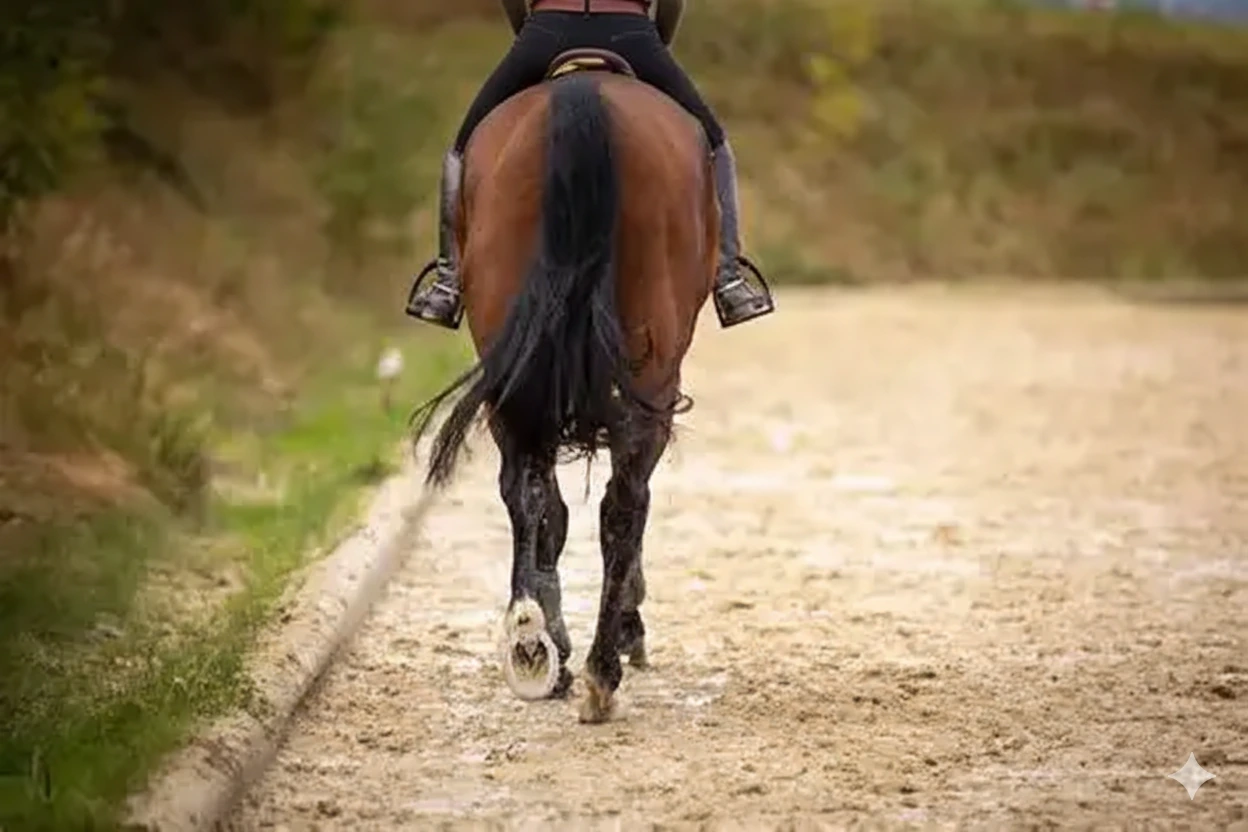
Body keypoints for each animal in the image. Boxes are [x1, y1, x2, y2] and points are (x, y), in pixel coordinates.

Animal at [409, 49, 715, 724]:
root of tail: (581, 94)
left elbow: (545, 505)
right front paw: (626, 629)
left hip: (515, 364)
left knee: (530, 493)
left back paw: (533, 644)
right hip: (650, 376)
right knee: (621, 504)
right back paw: (600, 668)